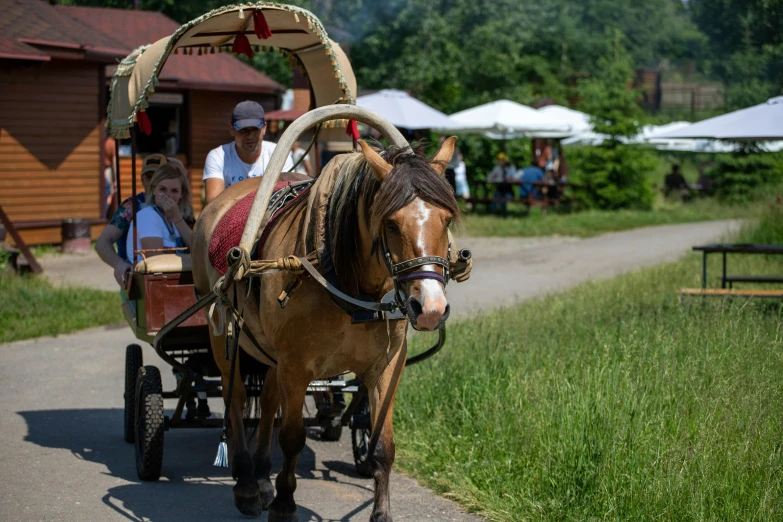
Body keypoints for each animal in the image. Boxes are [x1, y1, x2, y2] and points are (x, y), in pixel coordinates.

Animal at [191, 136, 460, 516]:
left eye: (447, 219)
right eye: (391, 223)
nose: (431, 309)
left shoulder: (386, 367)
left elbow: (383, 447)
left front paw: (381, 513)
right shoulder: (295, 367)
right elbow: (291, 438)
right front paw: (284, 504)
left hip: (270, 353)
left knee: (268, 400)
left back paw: (261, 476)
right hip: (222, 335)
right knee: (237, 399)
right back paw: (246, 484)